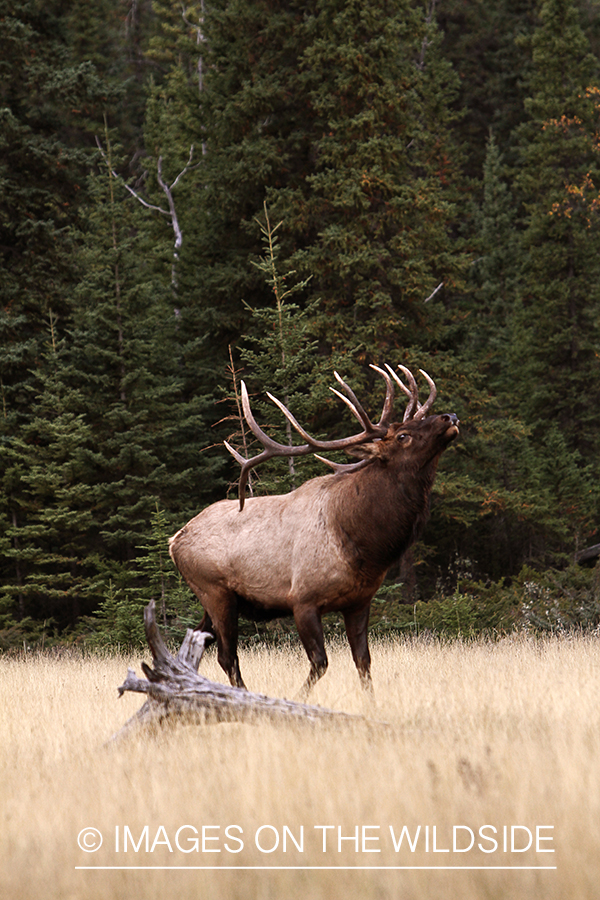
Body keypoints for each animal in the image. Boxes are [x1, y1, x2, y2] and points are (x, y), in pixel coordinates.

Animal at [169, 364, 460, 696]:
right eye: (403, 435)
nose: (449, 417)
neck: (365, 546)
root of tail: (174, 541)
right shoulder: (303, 599)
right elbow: (320, 662)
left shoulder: (360, 601)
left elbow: (364, 661)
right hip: (214, 592)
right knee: (227, 656)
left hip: (214, 601)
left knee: (196, 641)